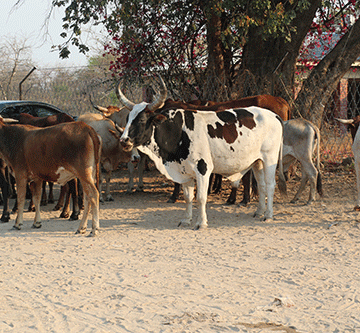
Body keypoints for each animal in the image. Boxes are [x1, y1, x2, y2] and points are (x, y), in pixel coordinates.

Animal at [118, 77, 286, 228]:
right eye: (127, 119)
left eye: (141, 120)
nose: (123, 140)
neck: (178, 131)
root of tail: (274, 115)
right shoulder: (184, 171)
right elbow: (188, 197)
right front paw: (186, 220)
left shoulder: (203, 169)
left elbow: (201, 198)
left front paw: (201, 222)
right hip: (257, 162)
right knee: (262, 185)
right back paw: (259, 212)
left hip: (270, 159)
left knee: (270, 185)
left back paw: (268, 215)